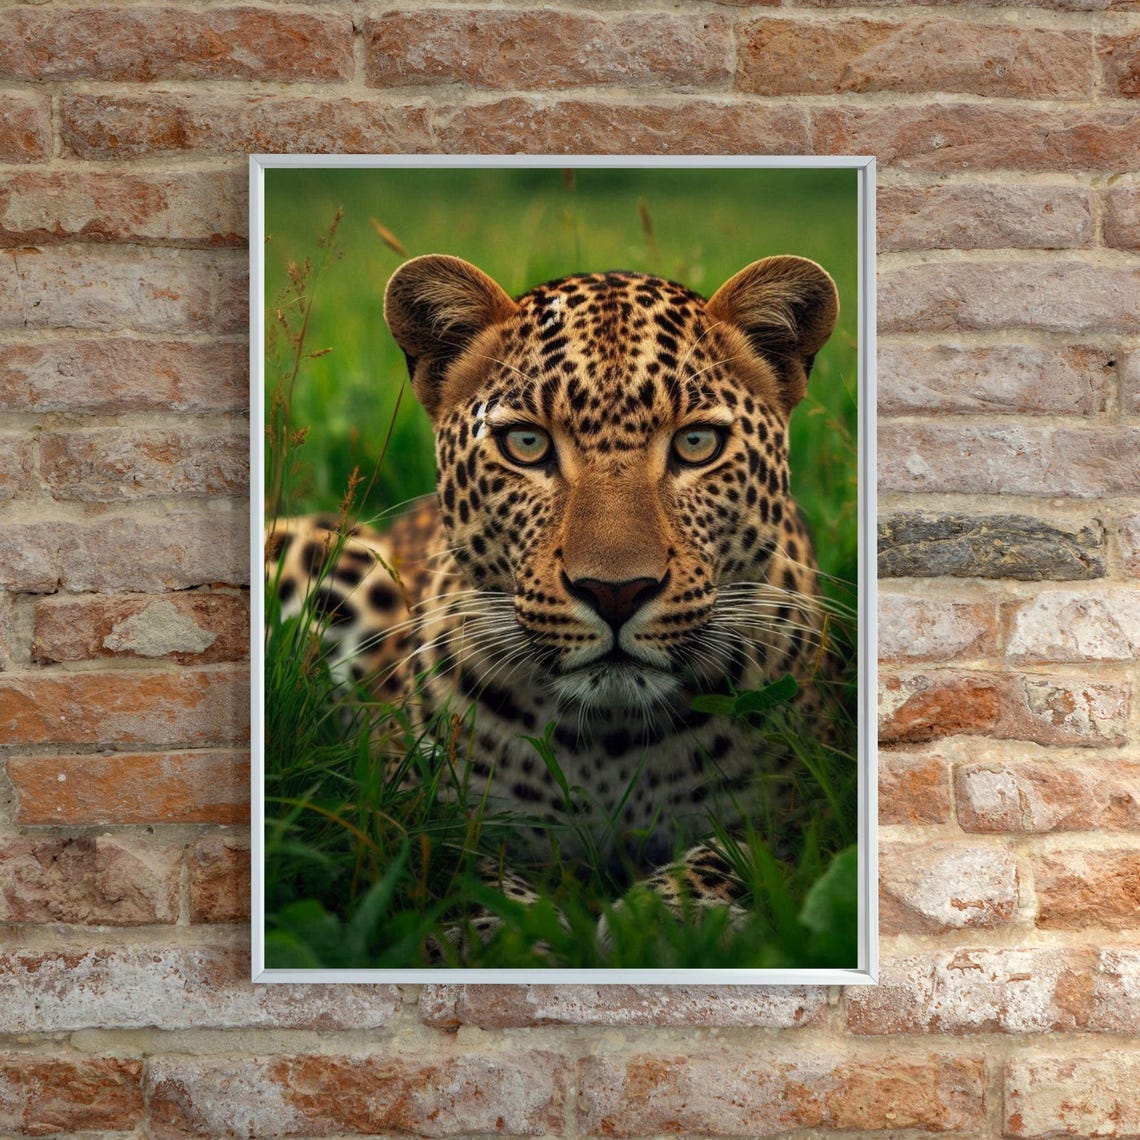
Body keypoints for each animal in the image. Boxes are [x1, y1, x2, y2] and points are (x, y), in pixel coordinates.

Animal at [267, 252, 846, 952]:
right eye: (527, 444)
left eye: (697, 444)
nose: (616, 591)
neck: (609, 744)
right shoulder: (400, 809)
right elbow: (448, 861)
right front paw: (503, 935)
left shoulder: (805, 808)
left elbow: (738, 855)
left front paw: (673, 921)